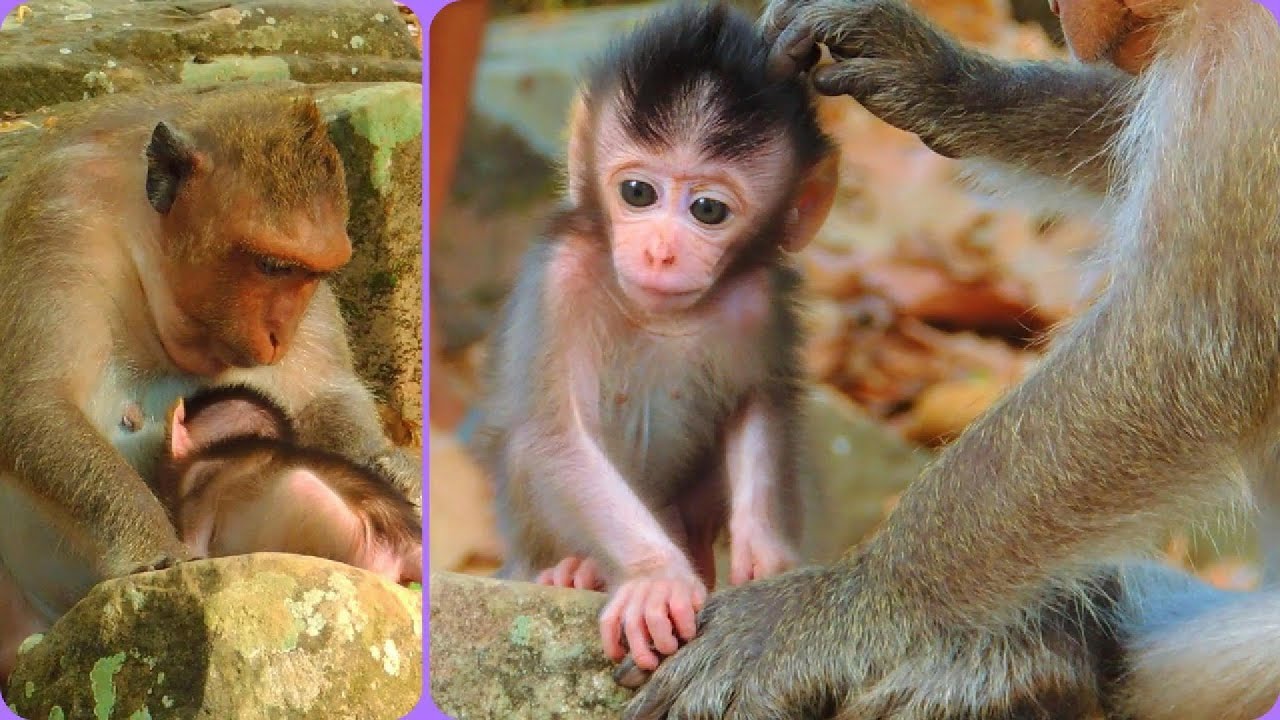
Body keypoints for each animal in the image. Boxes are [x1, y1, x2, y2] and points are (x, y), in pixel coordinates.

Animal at [471, 1, 840, 674]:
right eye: (637, 193)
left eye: (708, 210)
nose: (661, 252)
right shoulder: (562, 278)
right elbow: (556, 436)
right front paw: (654, 579)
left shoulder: (757, 301)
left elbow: (756, 403)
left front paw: (765, 553)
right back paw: (573, 570)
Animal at [620, 1, 1280, 719]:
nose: (1062, 12)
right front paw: (954, 85)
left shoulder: (1254, 50)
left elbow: (1189, 350)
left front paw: (853, 602)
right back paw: (1069, 641)